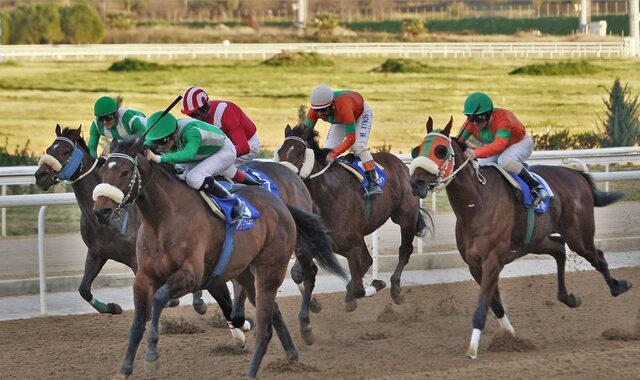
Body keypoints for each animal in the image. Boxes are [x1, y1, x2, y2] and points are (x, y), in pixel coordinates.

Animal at [92, 138, 344, 378]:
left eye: (125, 172)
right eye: (103, 170)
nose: (101, 211)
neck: (163, 220)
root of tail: (281, 203)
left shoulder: (192, 275)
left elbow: (159, 298)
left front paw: (152, 355)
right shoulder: (144, 278)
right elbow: (136, 324)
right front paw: (125, 368)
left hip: (274, 266)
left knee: (295, 287)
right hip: (246, 274)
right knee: (272, 311)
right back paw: (291, 354)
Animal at [276, 124, 430, 312]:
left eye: (299, 153)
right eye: (280, 152)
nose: (283, 178)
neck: (326, 196)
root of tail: (400, 164)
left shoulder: (351, 244)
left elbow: (358, 282)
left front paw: (367, 289)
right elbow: (297, 274)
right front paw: (314, 303)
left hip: (406, 217)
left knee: (404, 251)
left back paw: (395, 289)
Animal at [410, 117, 632, 360]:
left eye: (440, 150)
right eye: (417, 150)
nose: (416, 183)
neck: (476, 204)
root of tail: (576, 175)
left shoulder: (492, 260)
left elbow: (482, 306)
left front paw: (472, 350)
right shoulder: (474, 264)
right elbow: (495, 303)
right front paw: (510, 337)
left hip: (579, 236)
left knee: (597, 257)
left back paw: (618, 286)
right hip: (536, 240)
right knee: (559, 248)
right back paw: (568, 297)